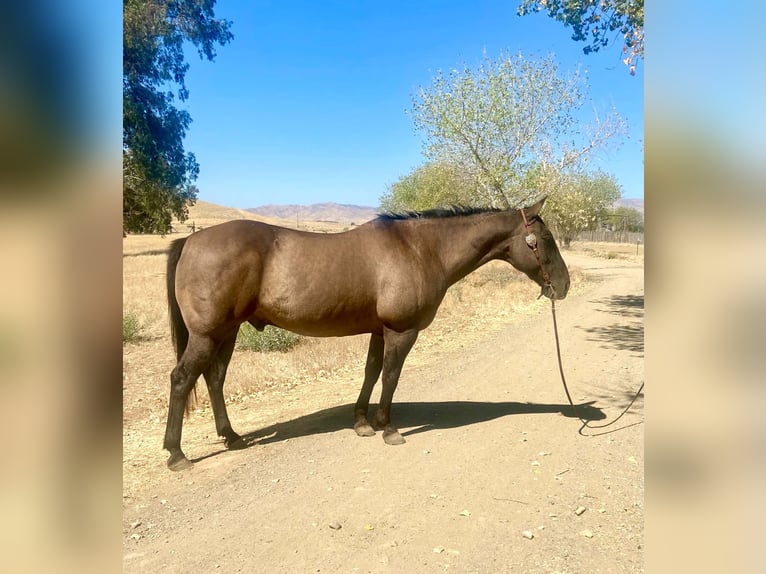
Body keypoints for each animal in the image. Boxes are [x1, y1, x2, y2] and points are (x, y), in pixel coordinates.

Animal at [163, 195, 570, 470]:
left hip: (227, 332)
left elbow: (371, 372)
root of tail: (191, 241)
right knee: (182, 379)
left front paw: (361, 423)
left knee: (214, 379)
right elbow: (390, 376)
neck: (421, 249)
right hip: (208, 335)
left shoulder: (379, 330)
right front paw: (388, 428)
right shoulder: (401, 331)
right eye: (546, 239)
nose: (564, 286)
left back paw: (232, 437)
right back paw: (177, 453)